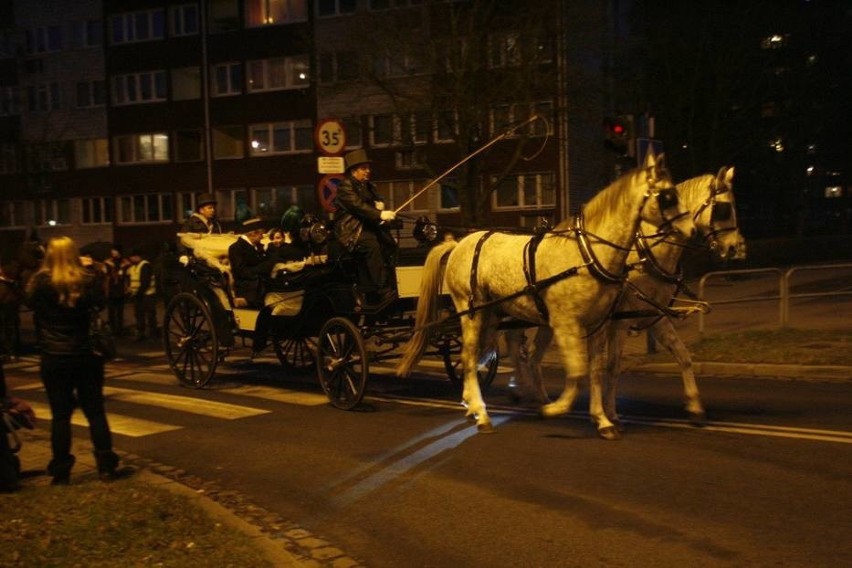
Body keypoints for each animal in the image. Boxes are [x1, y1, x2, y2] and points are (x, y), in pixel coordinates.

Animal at [396, 152, 696, 440]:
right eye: (668, 196)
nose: (692, 230)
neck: (586, 254)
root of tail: (458, 243)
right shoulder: (566, 325)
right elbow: (577, 371)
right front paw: (554, 409)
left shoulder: (598, 325)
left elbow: (595, 371)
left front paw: (602, 420)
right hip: (472, 313)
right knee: (469, 359)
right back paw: (483, 415)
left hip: (492, 314)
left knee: (483, 355)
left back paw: (474, 405)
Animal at [512, 166, 744, 438]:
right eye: (724, 208)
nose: (735, 248)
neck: (644, 255)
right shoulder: (619, 322)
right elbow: (611, 366)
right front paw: (610, 414)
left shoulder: (655, 316)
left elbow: (683, 355)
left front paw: (695, 408)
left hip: (546, 322)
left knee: (531, 357)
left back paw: (540, 398)